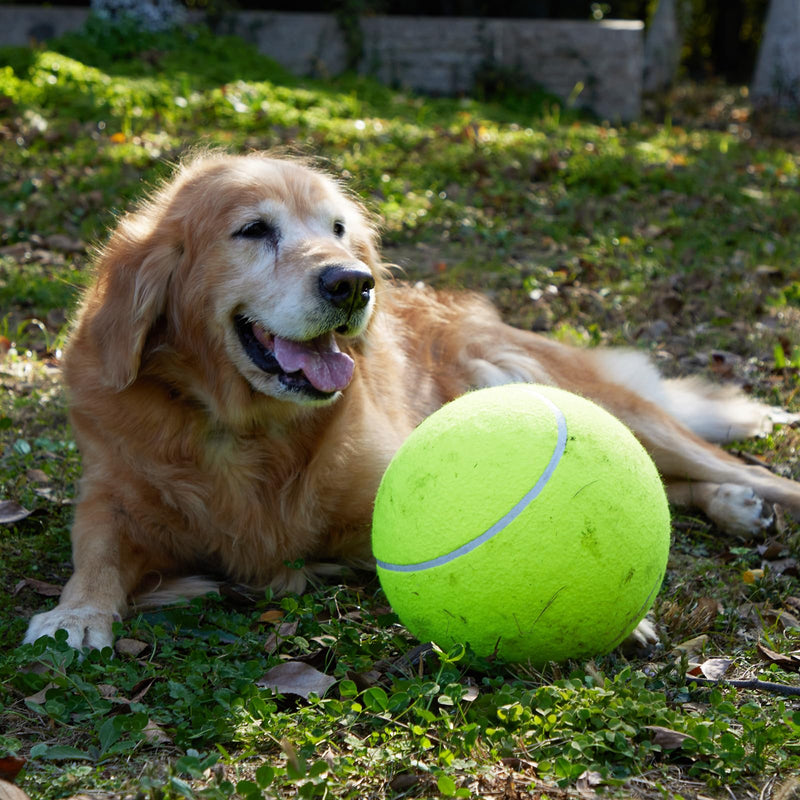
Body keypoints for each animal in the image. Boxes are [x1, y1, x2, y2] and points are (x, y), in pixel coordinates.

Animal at [23, 150, 800, 648]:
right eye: (253, 230)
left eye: (338, 229)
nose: (353, 282)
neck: (247, 431)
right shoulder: (110, 496)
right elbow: (96, 556)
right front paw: (77, 615)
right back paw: (730, 507)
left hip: (559, 387)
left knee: (732, 468)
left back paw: (744, 497)